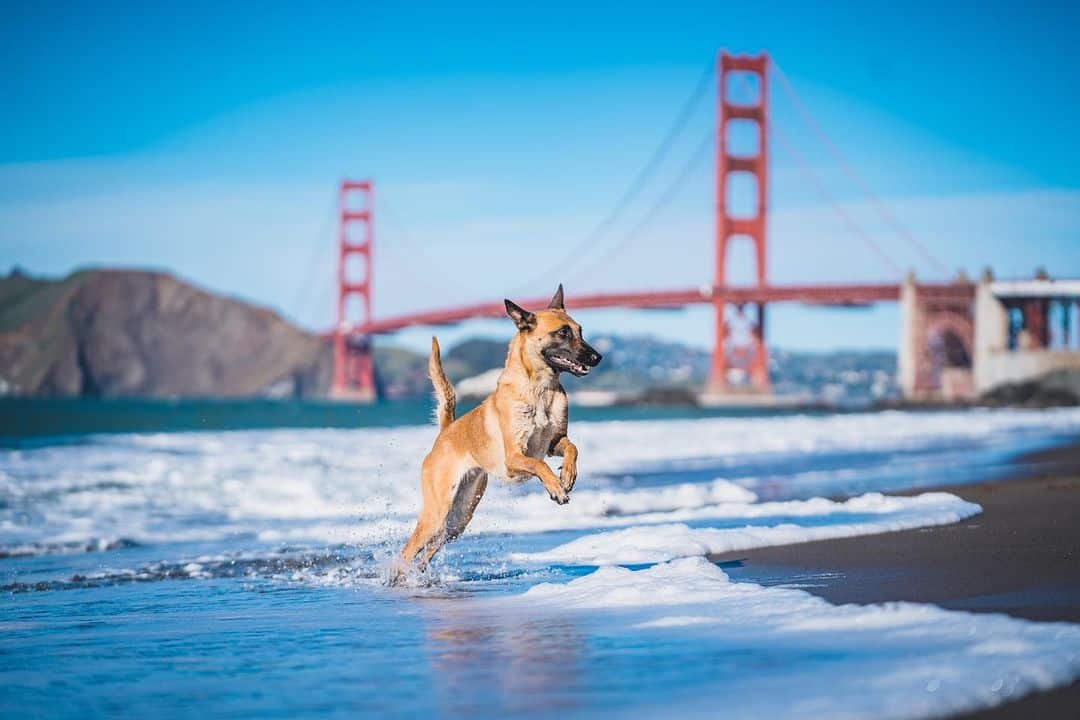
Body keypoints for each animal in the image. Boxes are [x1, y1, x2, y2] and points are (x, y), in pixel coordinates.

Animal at [397, 284, 604, 578]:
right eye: (563, 333)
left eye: (580, 331)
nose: (598, 357)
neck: (540, 389)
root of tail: (447, 430)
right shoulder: (515, 457)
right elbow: (539, 465)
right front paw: (556, 488)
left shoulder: (553, 443)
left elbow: (572, 448)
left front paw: (567, 475)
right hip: (436, 513)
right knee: (406, 552)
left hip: (457, 519)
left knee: (428, 551)